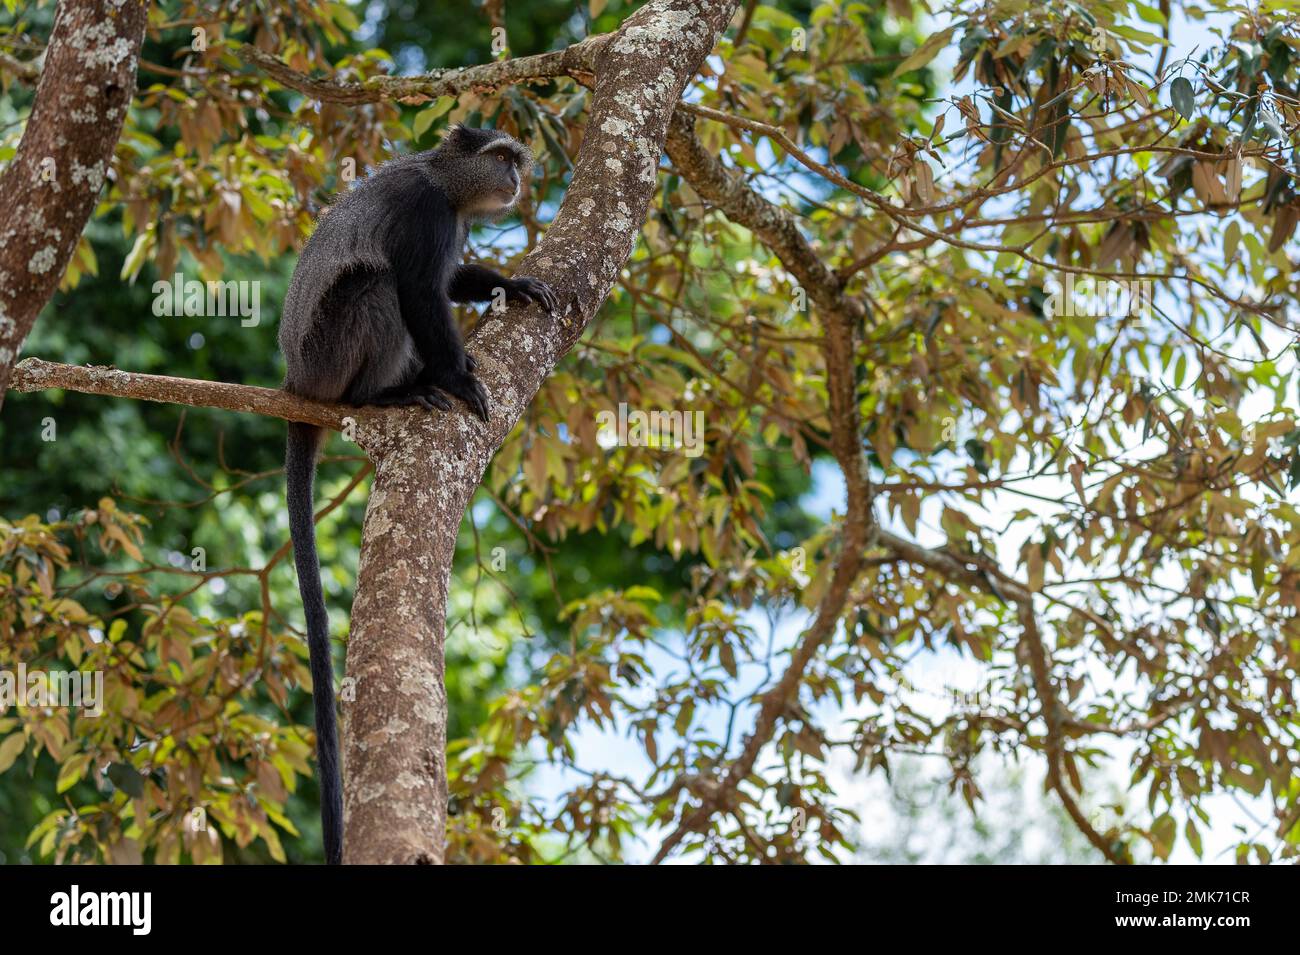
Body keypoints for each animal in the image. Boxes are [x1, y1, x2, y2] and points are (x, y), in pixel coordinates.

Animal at [278, 125, 557, 864]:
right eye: (502, 159)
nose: (516, 182)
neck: (445, 182)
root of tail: (295, 382)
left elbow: (453, 280)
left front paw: (507, 281)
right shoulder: (425, 214)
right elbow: (421, 291)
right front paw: (457, 376)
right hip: (330, 351)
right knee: (377, 285)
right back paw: (391, 392)